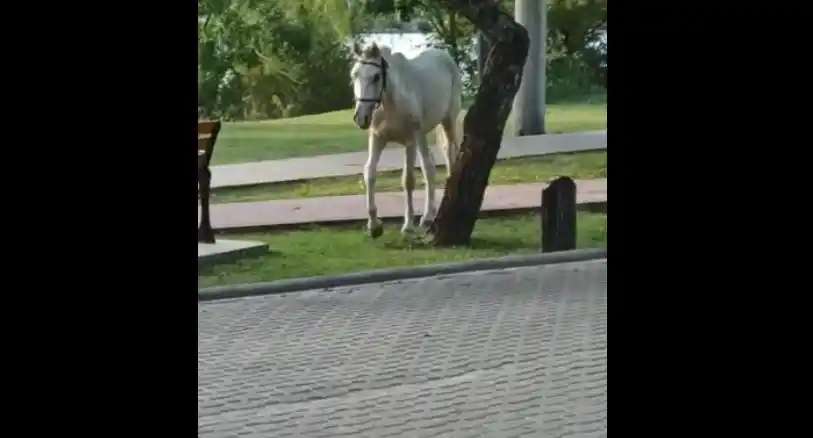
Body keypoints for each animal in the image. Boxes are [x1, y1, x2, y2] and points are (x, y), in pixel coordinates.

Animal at [350, 42, 463, 238]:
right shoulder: (377, 138)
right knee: (429, 167)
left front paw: (408, 225)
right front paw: (374, 225)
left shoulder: (409, 141)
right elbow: (369, 173)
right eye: (354, 74)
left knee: (450, 156)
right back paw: (428, 216)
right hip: (422, 135)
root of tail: (445, 57)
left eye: (376, 76)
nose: (360, 117)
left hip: (446, 123)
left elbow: (408, 180)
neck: (391, 102)